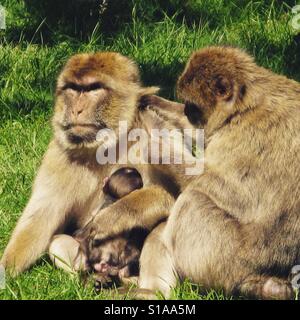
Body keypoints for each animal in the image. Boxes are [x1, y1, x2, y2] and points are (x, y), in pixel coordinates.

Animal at [0, 52, 195, 276]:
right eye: (73, 89)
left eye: (93, 88)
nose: (76, 110)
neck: (108, 143)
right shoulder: (60, 152)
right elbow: (42, 217)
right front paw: (6, 271)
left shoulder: (158, 130)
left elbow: (182, 194)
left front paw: (112, 217)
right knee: (57, 242)